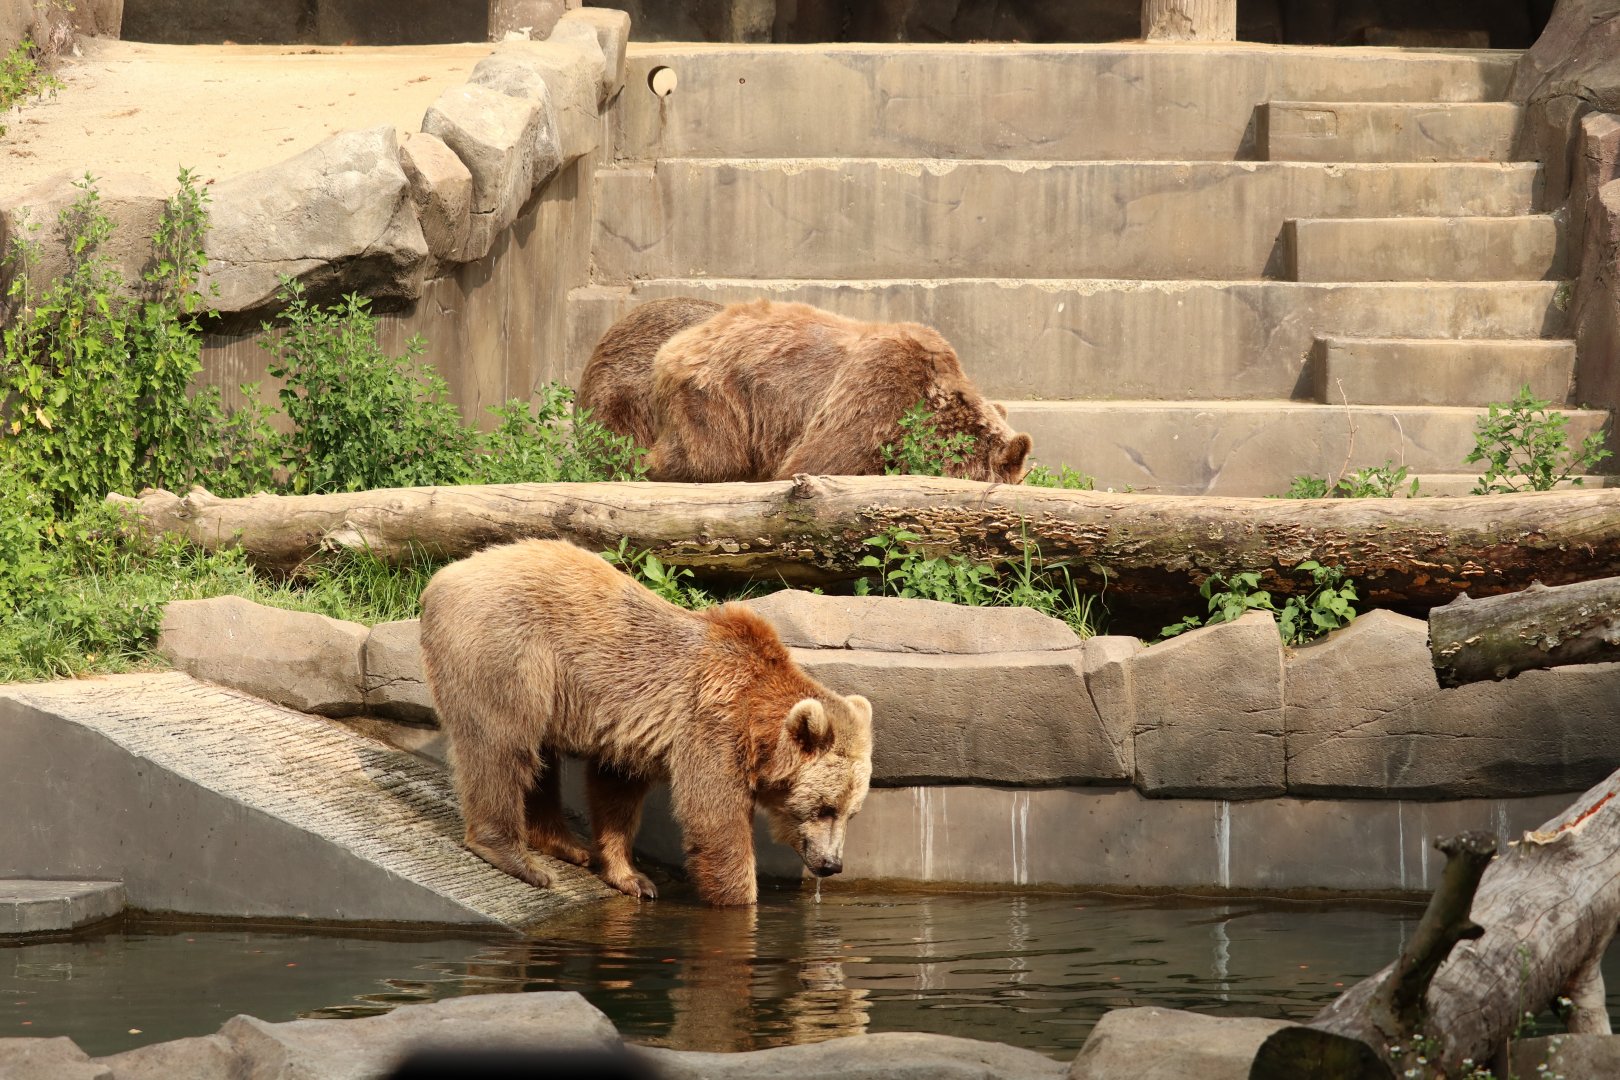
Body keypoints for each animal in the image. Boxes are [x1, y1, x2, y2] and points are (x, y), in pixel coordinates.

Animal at [417, 538, 874, 907]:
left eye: (852, 813)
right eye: (825, 807)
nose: (831, 865)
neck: (756, 727)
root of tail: (440, 580)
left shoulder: (632, 737)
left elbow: (617, 792)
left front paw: (632, 877)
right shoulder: (711, 729)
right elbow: (715, 820)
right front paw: (741, 899)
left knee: (537, 756)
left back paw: (566, 844)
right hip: (508, 648)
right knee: (502, 744)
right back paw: (516, 857)